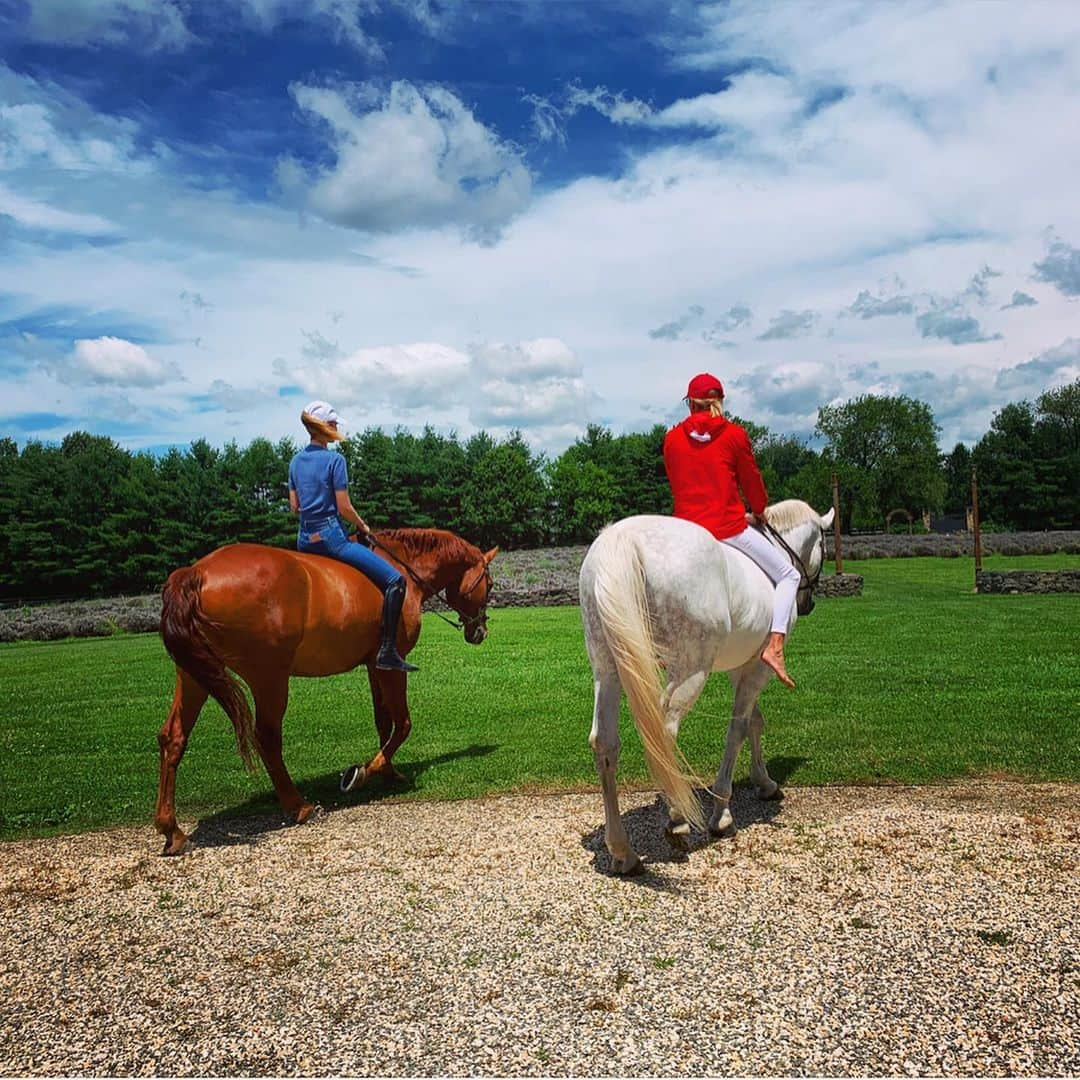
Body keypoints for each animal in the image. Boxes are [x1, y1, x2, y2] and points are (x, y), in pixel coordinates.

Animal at [153, 529, 496, 851]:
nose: (480, 630)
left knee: (174, 737)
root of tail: (197, 572)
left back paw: (171, 829)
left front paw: (387, 773)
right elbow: (403, 723)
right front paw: (363, 773)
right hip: (269, 677)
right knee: (266, 737)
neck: (403, 568)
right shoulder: (393, 665)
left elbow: (384, 722)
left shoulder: (374, 666)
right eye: (490, 585)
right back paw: (298, 806)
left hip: (195, 674)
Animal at [578, 501, 829, 872]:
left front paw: (764, 782)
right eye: (825, 545)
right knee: (665, 733)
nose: (809, 603)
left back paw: (623, 851)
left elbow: (755, 722)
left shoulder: (740, 668)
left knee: (605, 744)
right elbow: (738, 729)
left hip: (607, 668)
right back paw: (677, 821)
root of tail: (621, 538)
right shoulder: (758, 667)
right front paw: (723, 813)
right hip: (690, 671)